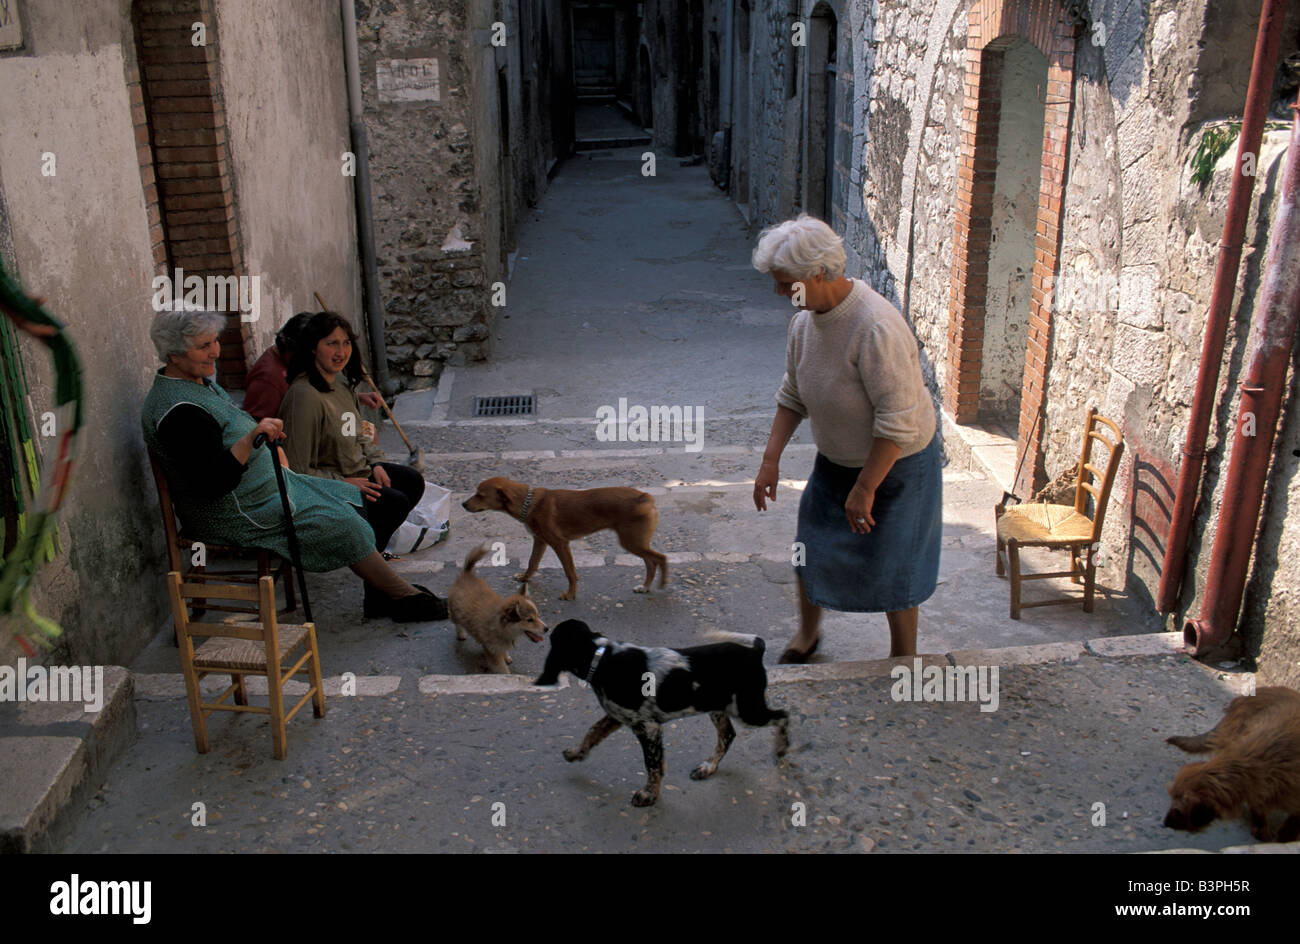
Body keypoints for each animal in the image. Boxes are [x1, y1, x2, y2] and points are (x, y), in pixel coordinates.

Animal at [462, 475, 670, 603]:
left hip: (631, 542)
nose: (463, 504)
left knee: (661, 558)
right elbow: (532, 563)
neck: (529, 503)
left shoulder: (560, 544)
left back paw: (662, 584)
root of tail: (644, 496)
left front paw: (571, 594)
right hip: (636, 542)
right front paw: (525, 578)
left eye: (480, 495)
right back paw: (645, 587)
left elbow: (570, 572)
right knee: (651, 562)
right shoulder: (540, 541)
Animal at [530, 621, 790, 806]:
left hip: (747, 710)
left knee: (783, 715)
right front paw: (577, 753)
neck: (602, 657)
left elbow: (653, 764)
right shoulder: (618, 716)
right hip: (720, 708)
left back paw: (781, 748)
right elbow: (591, 732)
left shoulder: (648, 727)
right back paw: (708, 767)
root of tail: (755, 652)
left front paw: (649, 795)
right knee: (727, 736)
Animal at [1164, 686, 1300, 842]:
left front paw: (1284, 838)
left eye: (1178, 811)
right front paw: (1261, 826)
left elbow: (1291, 825)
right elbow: (1258, 807)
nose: (1164, 824)